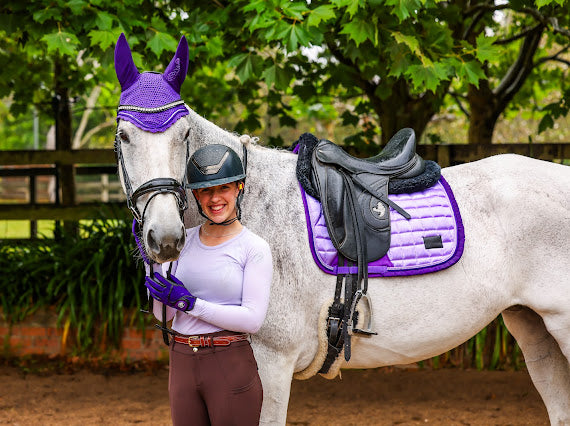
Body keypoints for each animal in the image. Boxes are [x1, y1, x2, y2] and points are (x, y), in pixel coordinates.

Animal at [115, 108, 568, 424]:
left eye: (183, 135)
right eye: (124, 136)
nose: (164, 237)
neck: (249, 204)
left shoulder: (270, 363)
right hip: (532, 327)